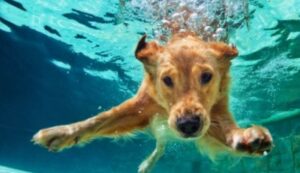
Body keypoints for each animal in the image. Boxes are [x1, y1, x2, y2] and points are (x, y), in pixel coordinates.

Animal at [32, 32, 272, 173]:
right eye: (167, 80)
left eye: (206, 76)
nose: (188, 125)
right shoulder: (141, 106)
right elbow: (100, 119)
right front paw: (62, 133)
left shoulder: (214, 113)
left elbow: (229, 130)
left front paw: (248, 137)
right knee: (160, 144)